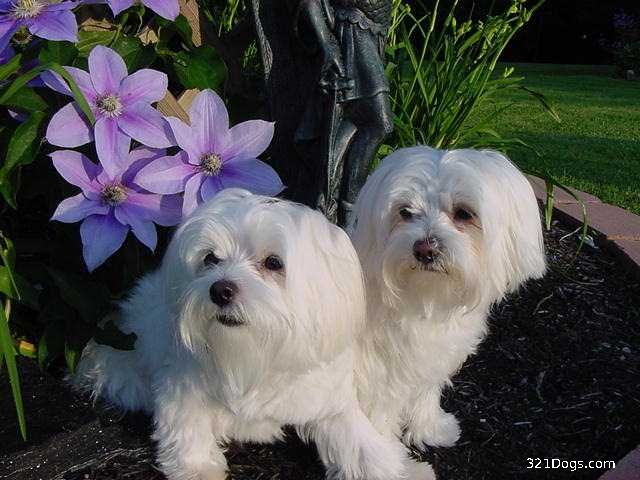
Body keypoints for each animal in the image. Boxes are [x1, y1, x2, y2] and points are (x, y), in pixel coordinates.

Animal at [70, 190, 412, 480]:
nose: (220, 290)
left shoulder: (324, 394)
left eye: (273, 263)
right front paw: (198, 467)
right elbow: (187, 424)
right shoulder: (181, 384)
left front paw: (389, 466)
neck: (256, 351)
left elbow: (357, 439)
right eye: (210, 258)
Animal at [350, 145, 544, 450]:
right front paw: (389, 455)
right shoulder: (376, 374)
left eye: (464, 213)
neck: (425, 299)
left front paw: (429, 429)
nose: (425, 249)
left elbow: (425, 393)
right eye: (406, 212)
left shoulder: (431, 360)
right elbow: (379, 416)